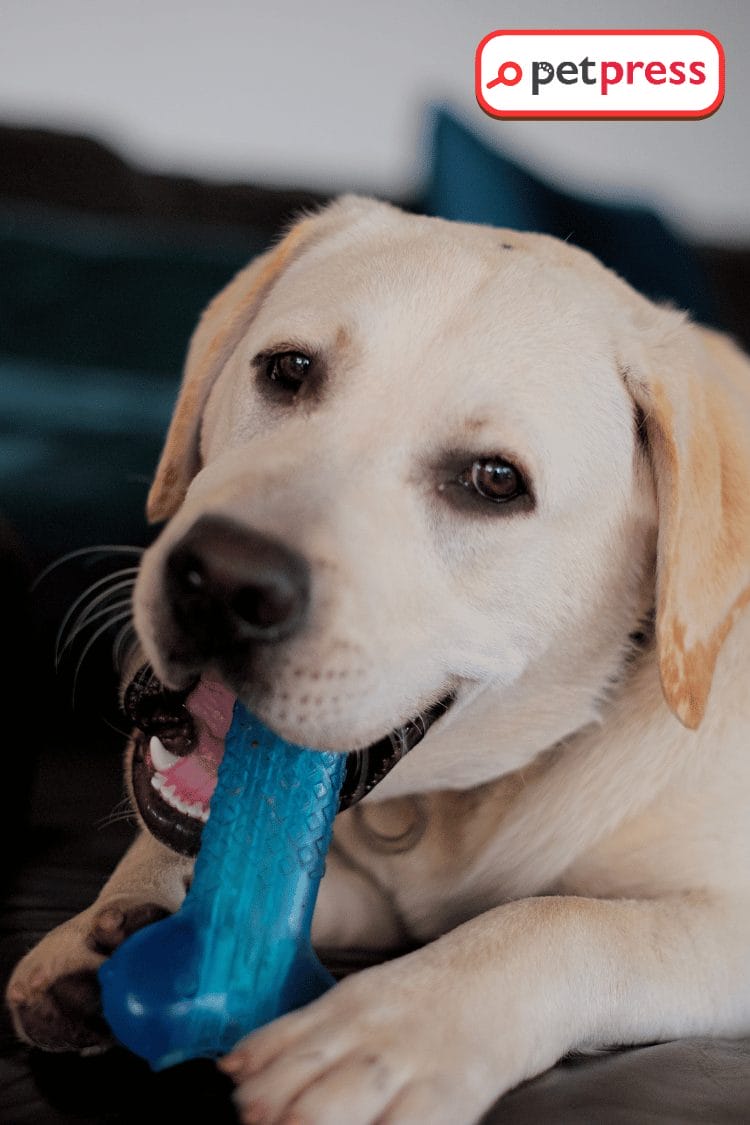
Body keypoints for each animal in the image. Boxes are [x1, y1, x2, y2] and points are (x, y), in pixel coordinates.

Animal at [7, 198, 750, 1120]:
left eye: (495, 480)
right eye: (289, 370)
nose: (225, 581)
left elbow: (567, 919)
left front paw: (392, 1029)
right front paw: (114, 920)